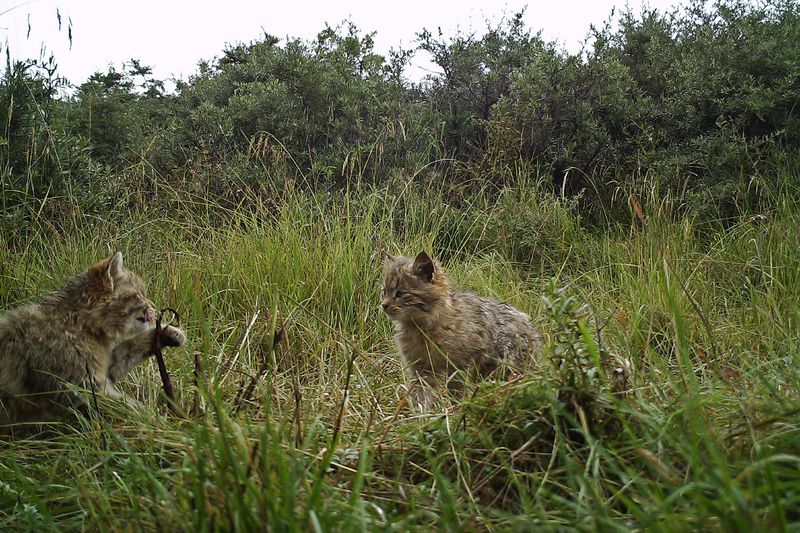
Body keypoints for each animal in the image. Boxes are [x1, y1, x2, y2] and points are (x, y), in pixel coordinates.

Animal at [0, 251, 186, 430]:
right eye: (139, 294)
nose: (153, 305)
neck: (78, 324)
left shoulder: (105, 368)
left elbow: (130, 346)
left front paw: (168, 332)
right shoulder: (84, 388)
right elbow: (131, 408)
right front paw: (169, 426)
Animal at [382, 251, 544, 410]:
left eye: (400, 293)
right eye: (384, 292)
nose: (383, 305)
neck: (420, 329)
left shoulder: (459, 365)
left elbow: (457, 393)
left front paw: (457, 410)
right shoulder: (420, 369)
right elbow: (420, 397)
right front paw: (421, 415)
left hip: (504, 368)